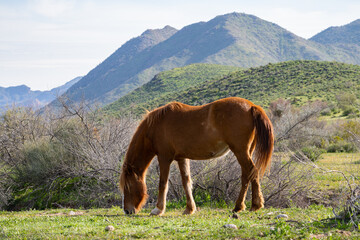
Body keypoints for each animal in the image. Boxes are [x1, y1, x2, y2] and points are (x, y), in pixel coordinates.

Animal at [119, 97, 272, 216]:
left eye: (128, 186)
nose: (127, 210)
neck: (156, 125)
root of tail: (251, 106)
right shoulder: (182, 158)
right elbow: (186, 182)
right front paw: (189, 209)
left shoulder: (164, 158)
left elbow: (163, 183)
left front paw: (158, 209)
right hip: (246, 152)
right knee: (247, 175)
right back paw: (241, 206)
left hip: (240, 151)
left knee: (252, 171)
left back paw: (253, 205)